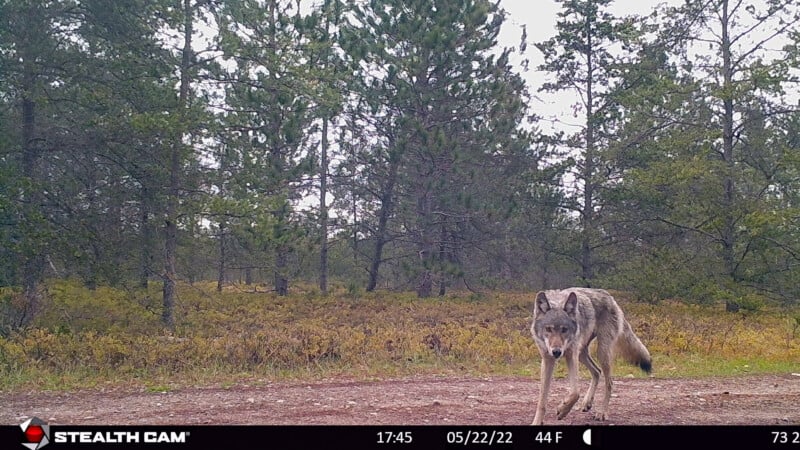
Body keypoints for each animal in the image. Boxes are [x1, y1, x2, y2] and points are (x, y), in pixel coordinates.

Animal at [530, 288, 651, 425]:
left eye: (564, 329)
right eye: (548, 329)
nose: (556, 352)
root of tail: (610, 297)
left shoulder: (571, 355)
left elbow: (575, 392)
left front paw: (563, 410)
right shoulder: (547, 359)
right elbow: (542, 400)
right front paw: (537, 422)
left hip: (601, 353)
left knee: (609, 383)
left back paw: (602, 413)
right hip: (582, 354)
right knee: (597, 371)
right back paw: (587, 403)